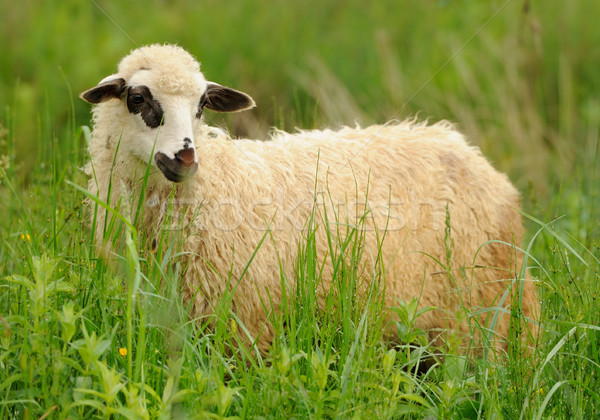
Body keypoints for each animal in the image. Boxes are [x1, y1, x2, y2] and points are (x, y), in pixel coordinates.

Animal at [81, 44, 540, 354]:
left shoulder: (248, 326)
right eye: (137, 98)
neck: (218, 186)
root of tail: (465, 149)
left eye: (202, 105)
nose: (186, 157)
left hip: (488, 314)